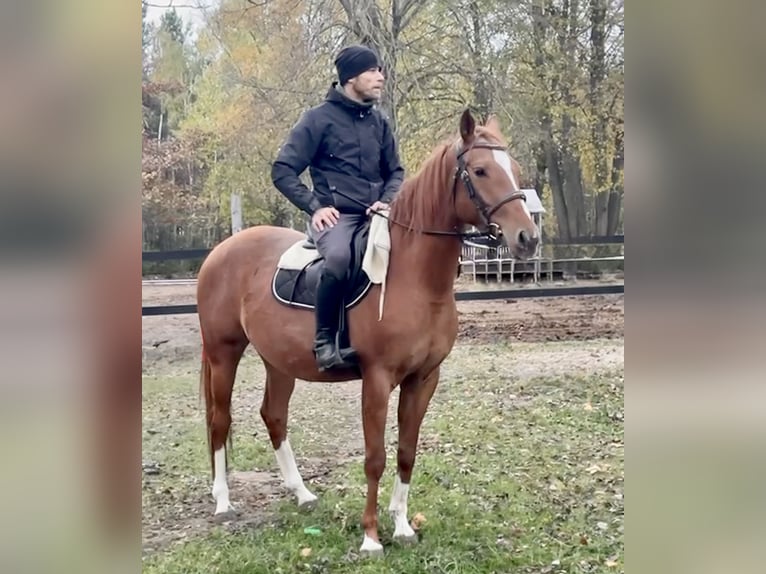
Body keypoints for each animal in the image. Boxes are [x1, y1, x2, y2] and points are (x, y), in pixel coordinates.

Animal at [196, 109, 540, 556]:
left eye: (513, 169)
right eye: (480, 170)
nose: (528, 238)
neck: (413, 277)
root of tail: (222, 250)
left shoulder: (423, 379)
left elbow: (406, 452)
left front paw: (403, 527)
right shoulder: (376, 381)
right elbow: (375, 457)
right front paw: (371, 537)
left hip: (279, 361)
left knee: (274, 416)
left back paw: (302, 494)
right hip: (224, 353)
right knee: (219, 420)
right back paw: (223, 501)